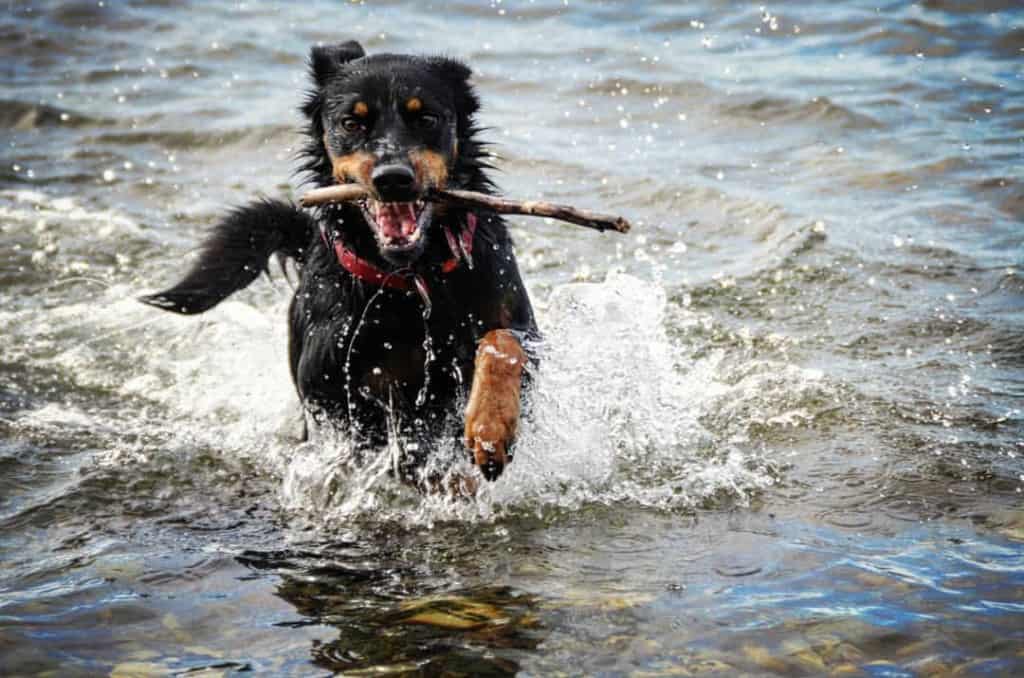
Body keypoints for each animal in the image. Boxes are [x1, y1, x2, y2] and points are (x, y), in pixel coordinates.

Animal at [146, 41, 544, 483]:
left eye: (426, 118)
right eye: (352, 123)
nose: (393, 178)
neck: (414, 280)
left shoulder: (518, 328)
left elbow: (503, 342)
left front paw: (490, 428)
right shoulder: (337, 393)